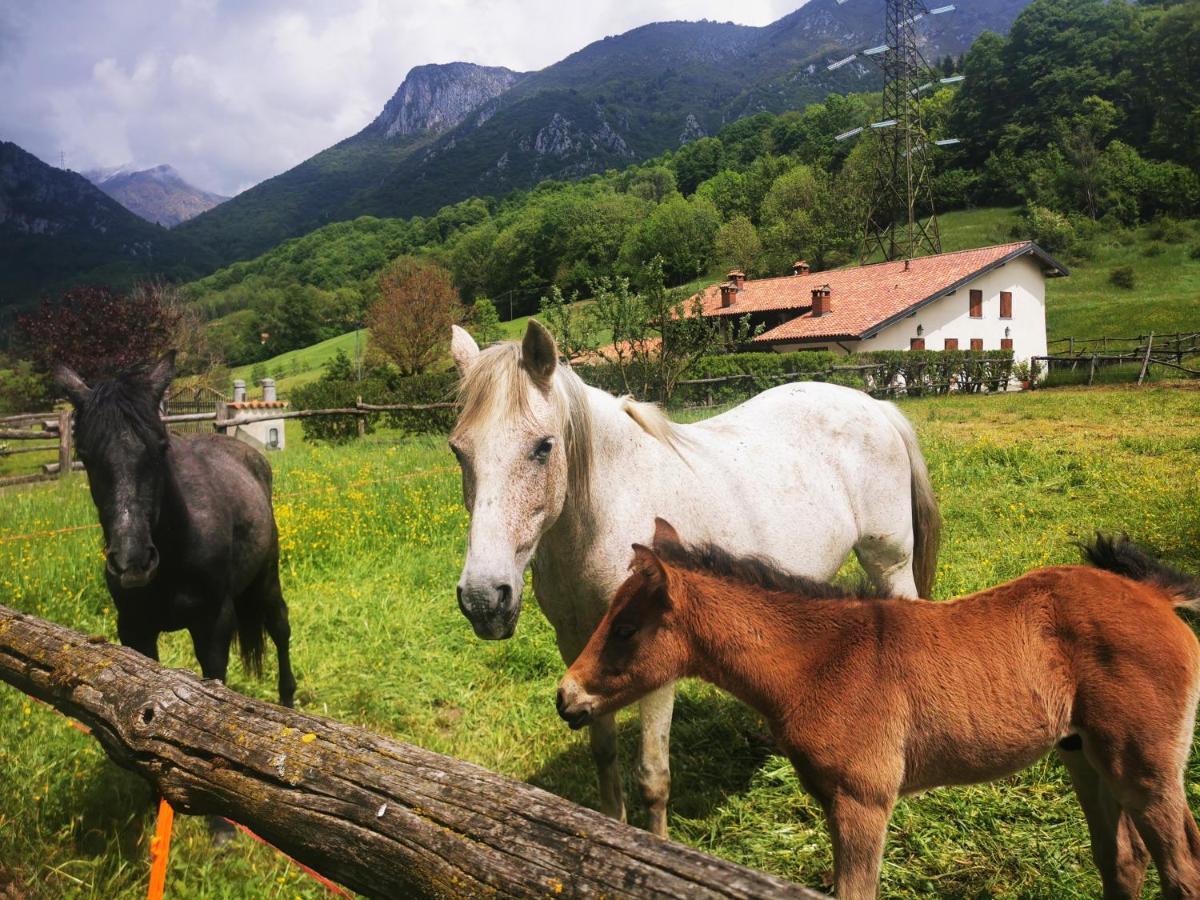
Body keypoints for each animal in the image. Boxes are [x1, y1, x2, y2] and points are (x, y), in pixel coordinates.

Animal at [55, 355, 298, 710]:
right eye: (85, 455)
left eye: (160, 446)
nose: (132, 561)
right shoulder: (135, 629)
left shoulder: (213, 626)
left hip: (267, 578)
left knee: (280, 628)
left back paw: (287, 698)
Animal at [451, 321, 936, 840]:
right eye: (457, 450)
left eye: (543, 446)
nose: (483, 599)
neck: (610, 514)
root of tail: (875, 406)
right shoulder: (577, 648)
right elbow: (603, 754)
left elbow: (652, 776)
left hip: (890, 563)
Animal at [556, 520, 1200, 900]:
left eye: (626, 629)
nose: (567, 698)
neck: (823, 661)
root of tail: (1152, 594)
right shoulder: (833, 799)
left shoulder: (864, 799)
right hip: (1084, 756)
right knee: (1122, 860)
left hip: (1144, 767)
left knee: (1180, 870)